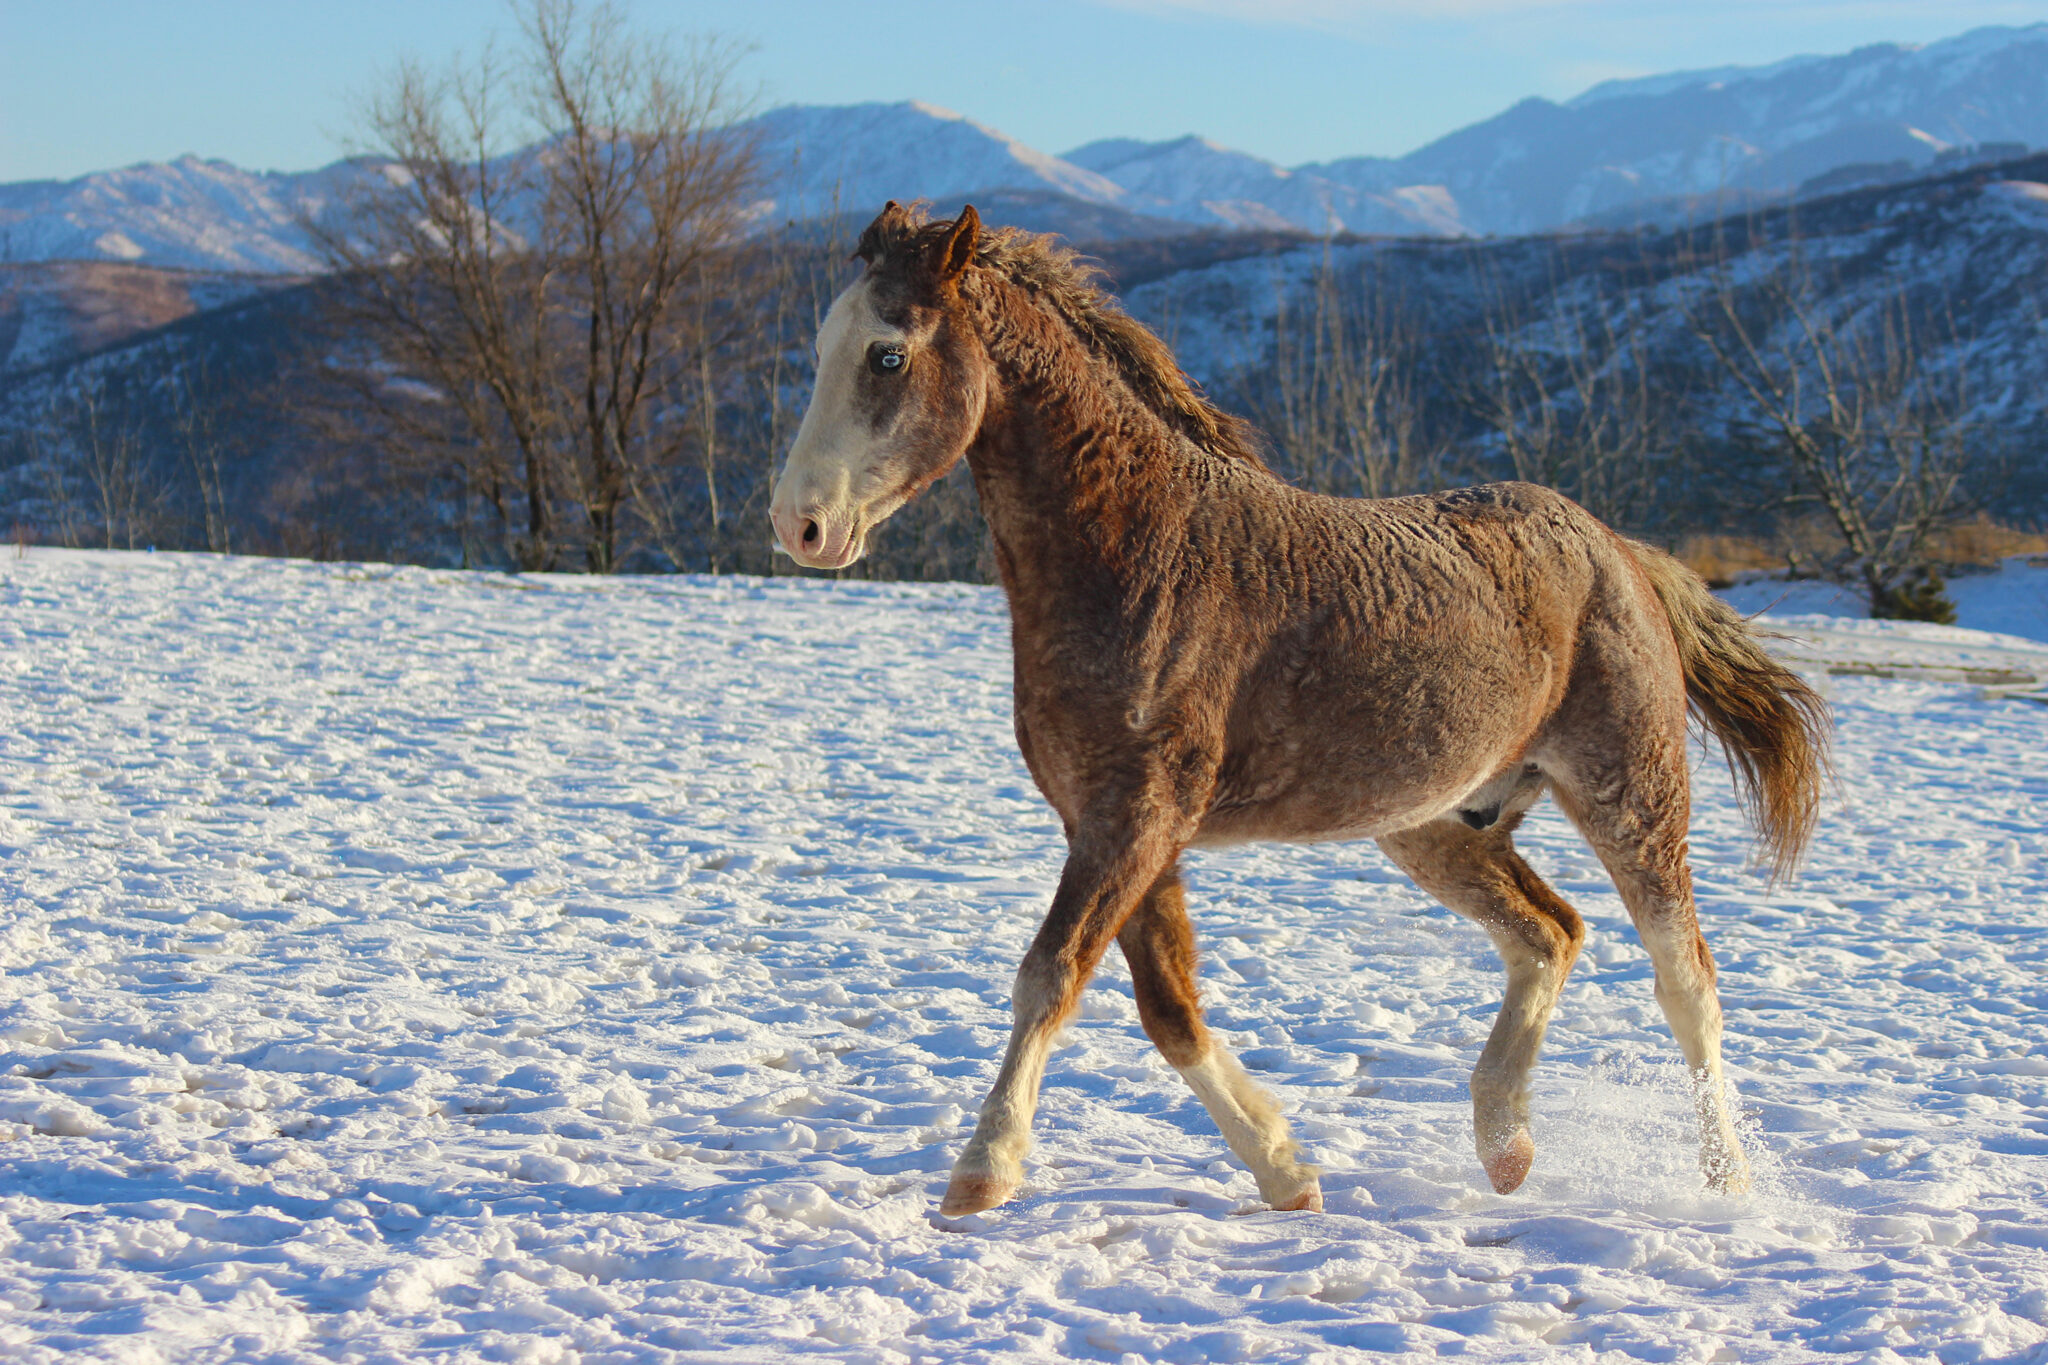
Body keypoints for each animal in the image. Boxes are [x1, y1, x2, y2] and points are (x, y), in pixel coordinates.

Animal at [769, 202, 1830, 1218]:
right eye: (820, 344)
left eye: (888, 353)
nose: (800, 525)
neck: (1148, 553)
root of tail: (1619, 549)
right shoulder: (1118, 825)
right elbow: (1169, 1007)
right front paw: (1288, 1172)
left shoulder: (1136, 817)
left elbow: (1052, 974)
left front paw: (981, 1173)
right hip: (1436, 823)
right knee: (1550, 933)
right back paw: (1505, 1144)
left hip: (1632, 795)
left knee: (1687, 981)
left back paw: (1728, 1182)